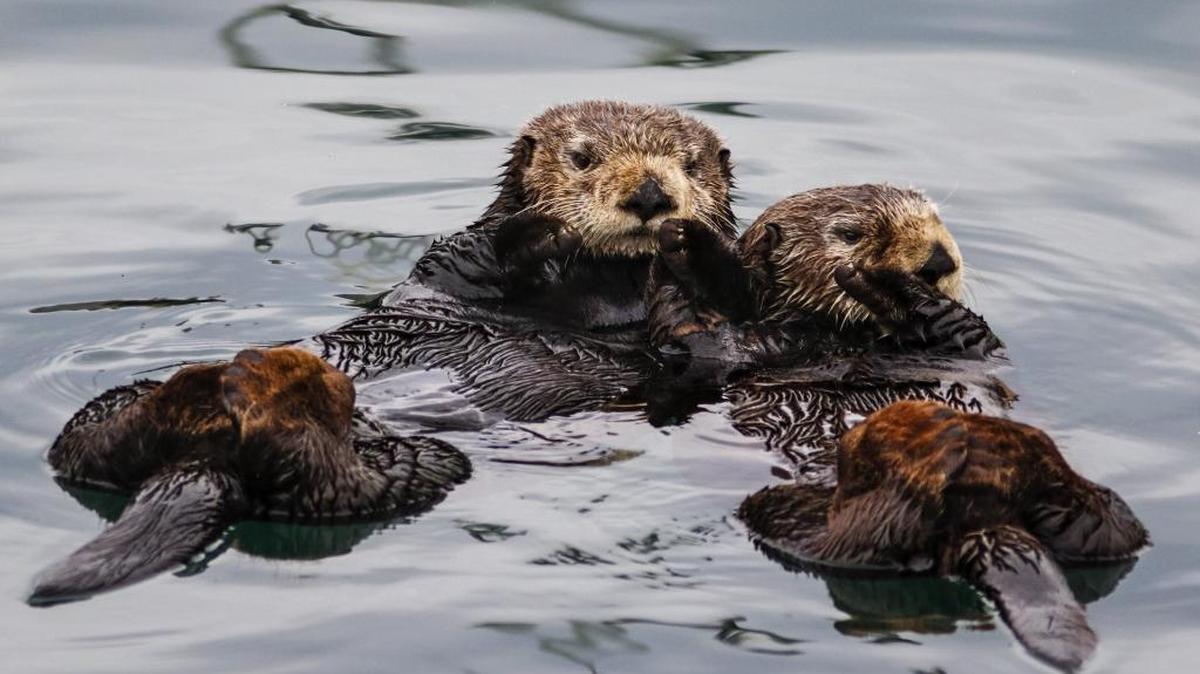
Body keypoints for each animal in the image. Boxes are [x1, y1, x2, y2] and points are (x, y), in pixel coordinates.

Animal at [739, 400, 1149, 672]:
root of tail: (986, 523)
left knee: (1108, 529)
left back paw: (1000, 436)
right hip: (798, 521)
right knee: (878, 528)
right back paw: (934, 433)